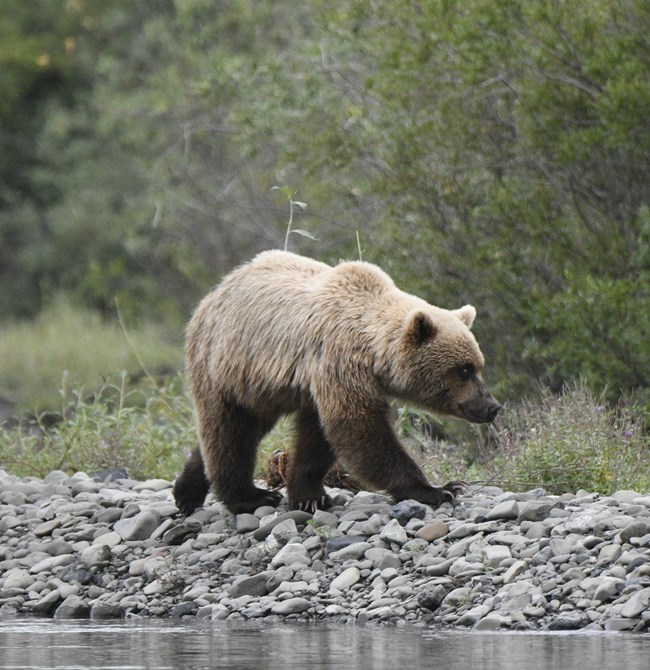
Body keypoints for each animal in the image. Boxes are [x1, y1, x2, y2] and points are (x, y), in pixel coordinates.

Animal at [171, 255, 496, 516]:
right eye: (464, 370)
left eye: (478, 365)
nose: (491, 407)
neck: (372, 352)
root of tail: (215, 292)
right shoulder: (339, 363)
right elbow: (359, 428)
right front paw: (438, 488)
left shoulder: (321, 385)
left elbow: (319, 437)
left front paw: (309, 496)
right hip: (225, 363)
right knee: (230, 430)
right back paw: (250, 497)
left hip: (258, 385)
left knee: (233, 429)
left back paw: (185, 492)